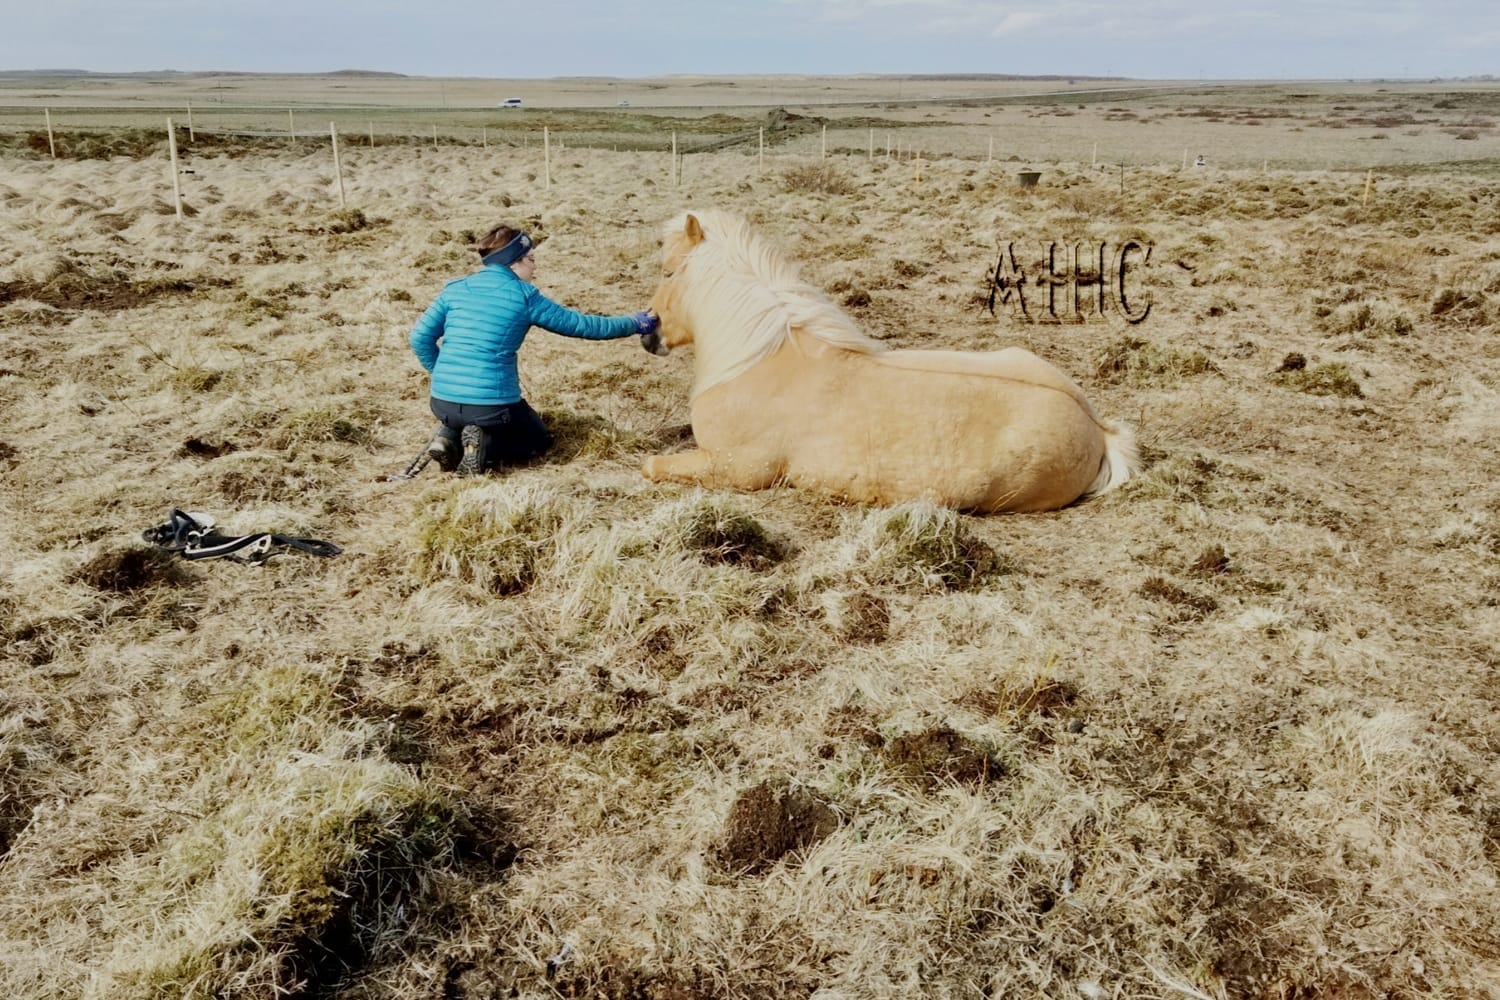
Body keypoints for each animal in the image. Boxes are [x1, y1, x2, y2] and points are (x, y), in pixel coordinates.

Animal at [641, 209, 1141, 513]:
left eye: (668, 272)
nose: (650, 335)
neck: (761, 358)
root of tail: (1096, 428)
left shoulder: (735, 470)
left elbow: (652, 467)